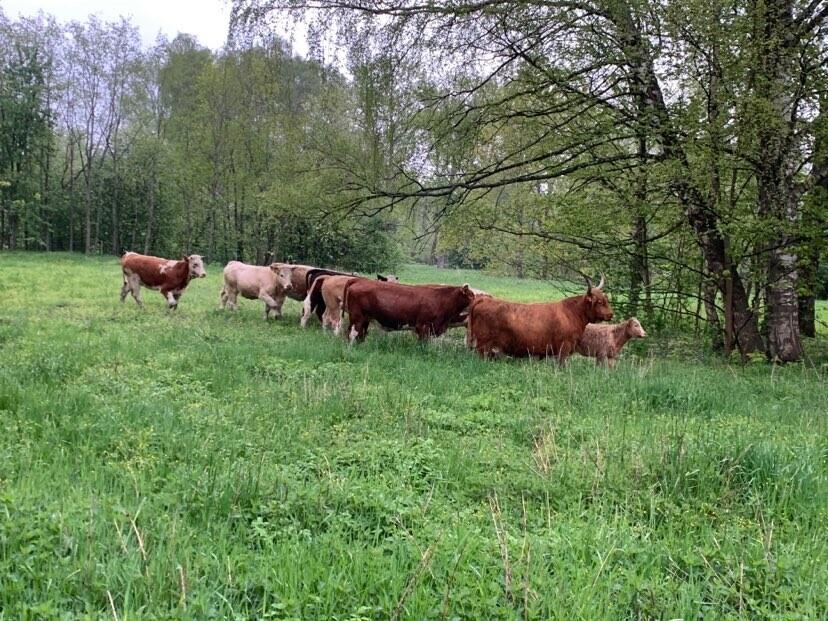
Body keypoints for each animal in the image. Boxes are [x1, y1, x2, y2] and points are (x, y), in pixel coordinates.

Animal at [342, 280, 476, 343]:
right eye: (471, 296)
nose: (477, 302)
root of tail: (360, 280)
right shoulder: (423, 326)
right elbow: (423, 343)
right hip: (357, 317)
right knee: (352, 333)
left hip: (365, 319)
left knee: (361, 334)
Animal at [466, 275, 614, 364]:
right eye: (599, 302)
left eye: (606, 299)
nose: (611, 314)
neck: (573, 313)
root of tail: (484, 299)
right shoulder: (564, 348)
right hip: (484, 345)